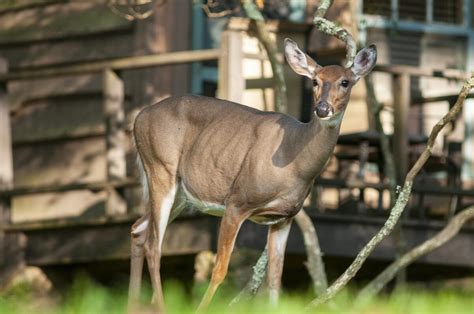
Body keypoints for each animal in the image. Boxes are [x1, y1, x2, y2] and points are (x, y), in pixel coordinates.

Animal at [127, 37, 378, 312]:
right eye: (315, 81)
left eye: (345, 82)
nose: (322, 109)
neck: (294, 161)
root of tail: (138, 118)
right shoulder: (237, 201)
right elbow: (220, 270)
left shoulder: (284, 217)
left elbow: (275, 279)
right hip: (160, 167)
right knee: (154, 245)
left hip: (181, 194)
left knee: (138, 229)